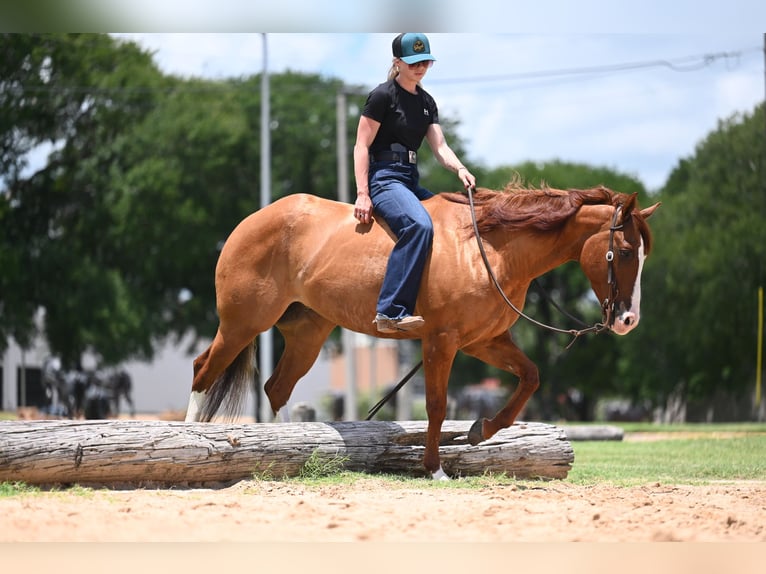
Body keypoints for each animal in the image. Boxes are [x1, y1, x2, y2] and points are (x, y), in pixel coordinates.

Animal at [184, 183, 659, 479]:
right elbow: (436, 404)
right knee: (203, 371)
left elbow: (530, 377)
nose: (628, 321)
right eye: (624, 251)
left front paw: (481, 430)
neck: (487, 248)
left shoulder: (484, 341)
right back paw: (192, 437)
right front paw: (434, 468)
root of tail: (252, 220)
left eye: (641, 255)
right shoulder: (441, 341)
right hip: (243, 323)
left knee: (276, 388)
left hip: (307, 333)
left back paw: (289, 445)